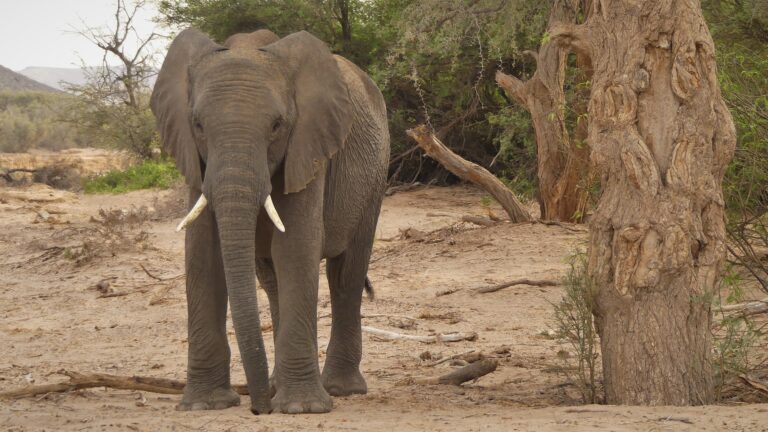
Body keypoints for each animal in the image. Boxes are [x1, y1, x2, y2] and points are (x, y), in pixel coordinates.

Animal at [150, 27, 390, 416]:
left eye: (277, 126)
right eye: (198, 125)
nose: (257, 408)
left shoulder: (308, 147)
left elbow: (294, 248)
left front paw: (301, 409)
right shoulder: (196, 161)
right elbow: (202, 254)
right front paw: (204, 405)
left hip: (375, 175)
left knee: (346, 275)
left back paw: (340, 389)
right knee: (272, 281)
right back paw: (280, 385)